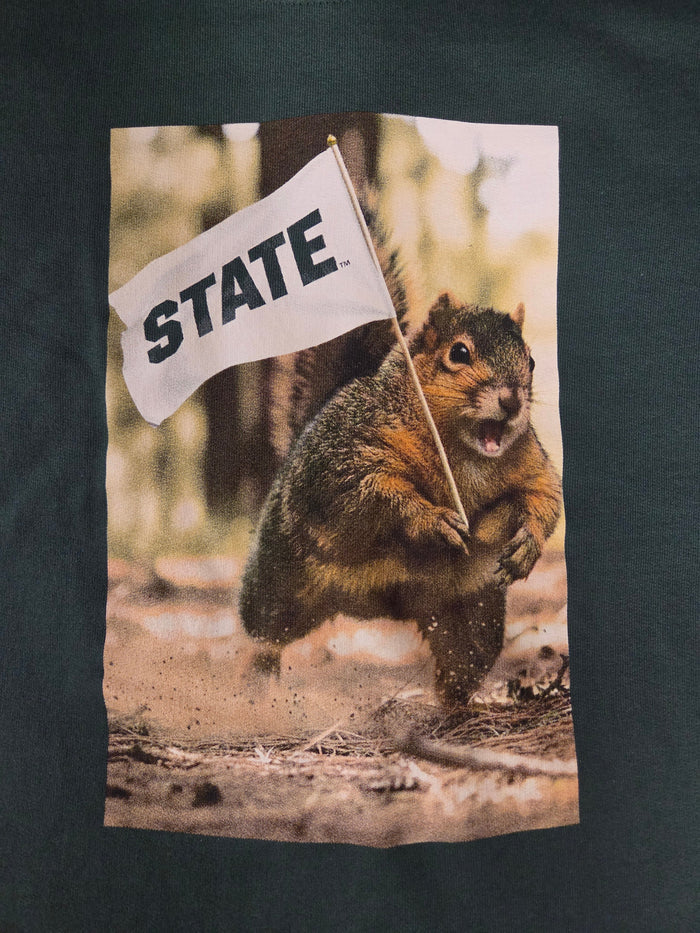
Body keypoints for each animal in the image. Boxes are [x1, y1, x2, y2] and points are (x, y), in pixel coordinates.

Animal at [239, 292, 562, 706]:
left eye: (531, 361)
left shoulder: (532, 465)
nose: (511, 401)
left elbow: (544, 499)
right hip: (280, 578)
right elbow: (375, 491)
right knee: (265, 632)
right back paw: (257, 682)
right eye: (459, 352)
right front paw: (432, 520)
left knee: (463, 662)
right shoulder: (352, 456)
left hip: (473, 616)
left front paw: (526, 547)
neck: (465, 450)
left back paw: (456, 707)